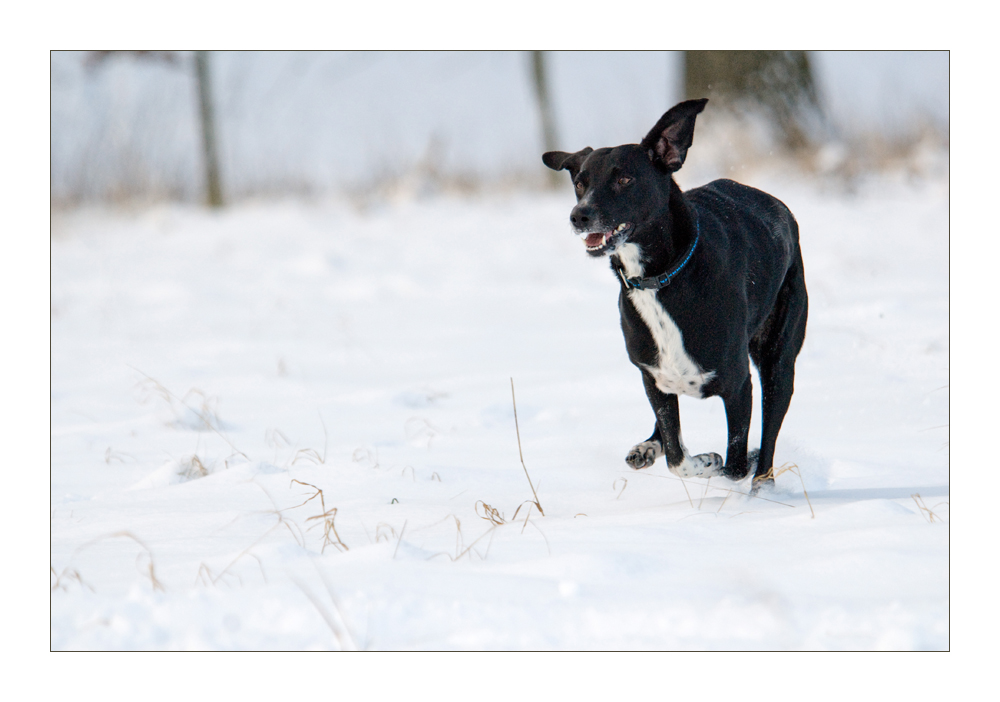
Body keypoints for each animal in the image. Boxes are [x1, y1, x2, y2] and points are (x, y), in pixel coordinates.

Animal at [544, 97, 808, 490]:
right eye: (579, 182)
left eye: (624, 179)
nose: (579, 215)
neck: (659, 279)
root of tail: (781, 209)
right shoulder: (651, 376)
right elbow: (676, 456)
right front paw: (694, 457)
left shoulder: (737, 384)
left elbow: (734, 463)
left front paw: (722, 463)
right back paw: (648, 446)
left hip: (779, 360)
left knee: (769, 436)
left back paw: (761, 483)